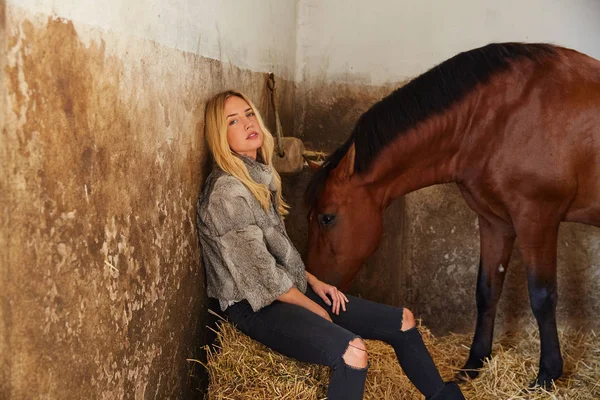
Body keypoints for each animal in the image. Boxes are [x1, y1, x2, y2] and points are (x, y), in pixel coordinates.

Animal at [304, 43, 600, 388]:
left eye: (326, 218)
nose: (313, 286)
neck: (501, 118)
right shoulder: (495, 222)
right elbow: (486, 292)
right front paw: (474, 364)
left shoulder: (537, 220)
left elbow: (542, 297)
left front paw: (547, 374)